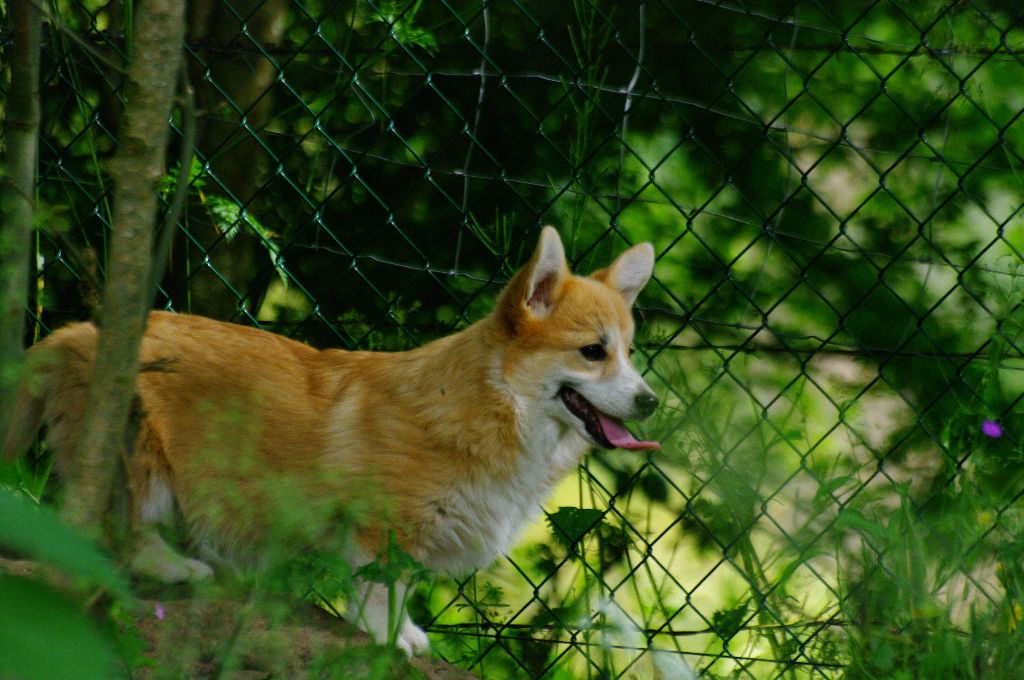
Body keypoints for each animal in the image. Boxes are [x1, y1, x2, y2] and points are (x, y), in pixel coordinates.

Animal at [4, 228, 659, 655]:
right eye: (593, 352)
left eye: (629, 352)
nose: (651, 402)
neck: (496, 403)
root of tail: (78, 332)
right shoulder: (381, 529)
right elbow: (381, 588)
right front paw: (388, 637)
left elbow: (404, 586)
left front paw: (406, 632)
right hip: (139, 453)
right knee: (124, 532)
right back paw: (177, 569)